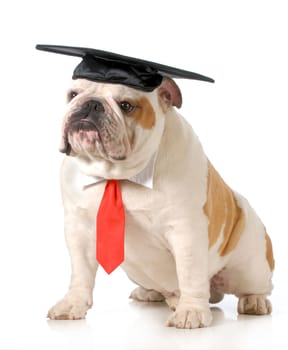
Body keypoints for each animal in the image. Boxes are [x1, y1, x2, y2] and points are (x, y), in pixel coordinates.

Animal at [47, 78, 274, 330]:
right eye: (73, 94)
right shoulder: (79, 231)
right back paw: (152, 293)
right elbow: (81, 273)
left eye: (126, 105)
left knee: (257, 286)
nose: (91, 104)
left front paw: (191, 311)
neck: (118, 174)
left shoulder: (186, 231)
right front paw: (71, 305)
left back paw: (254, 302)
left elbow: (189, 273)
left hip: (250, 267)